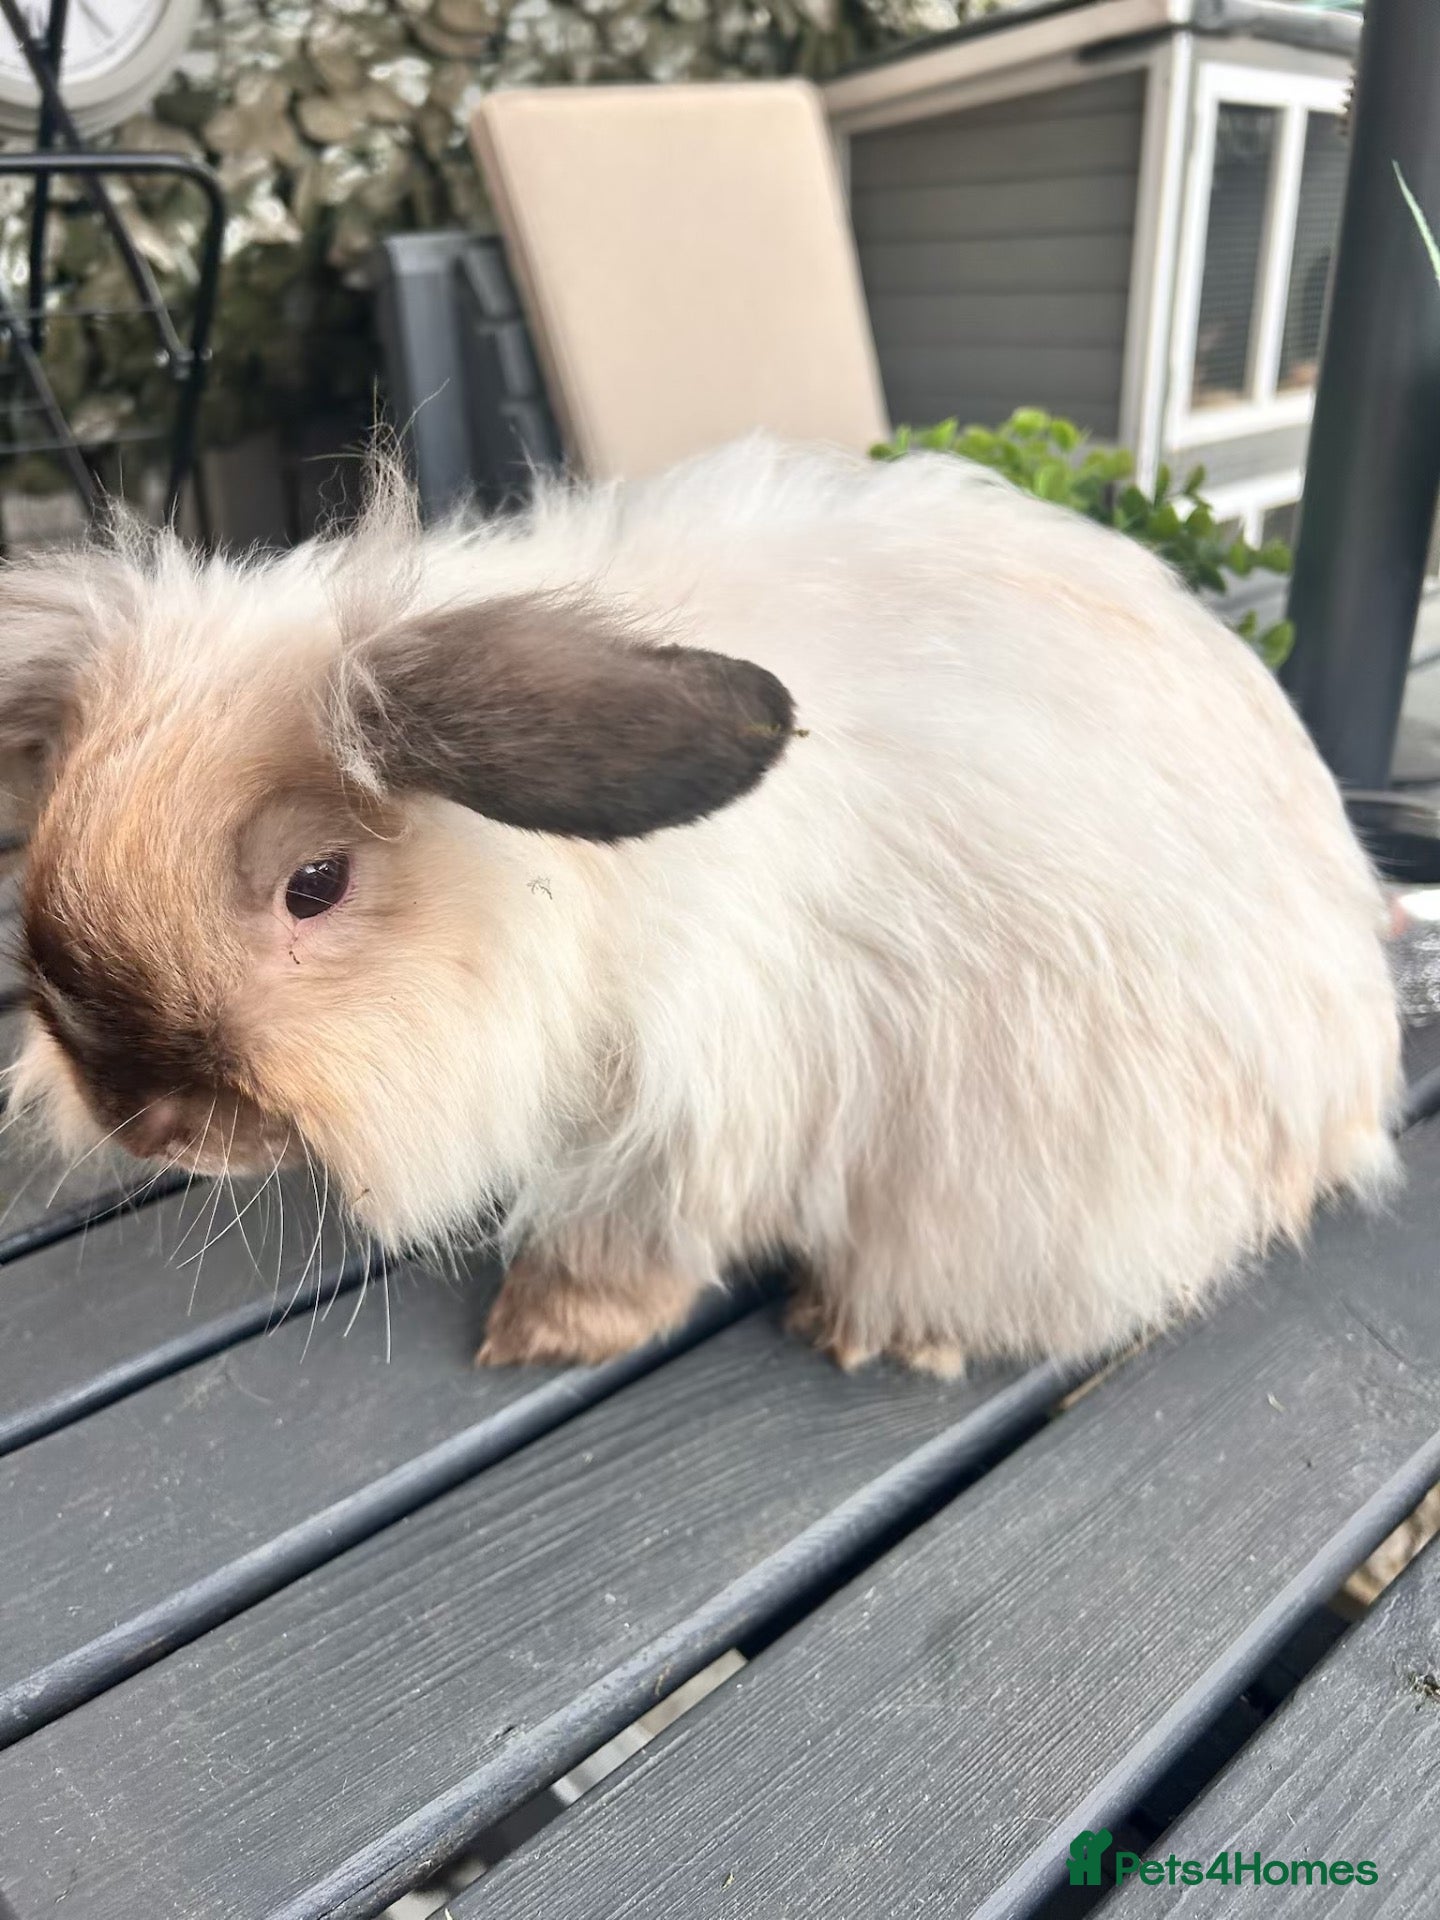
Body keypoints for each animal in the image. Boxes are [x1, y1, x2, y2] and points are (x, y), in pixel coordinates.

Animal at [0, 435, 1400, 1374]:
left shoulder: (698, 1100)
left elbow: (637, 1246)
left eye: (315, 885)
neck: (559, 894)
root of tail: (1342, 1099)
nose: (142, 1121)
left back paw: (868, 1330)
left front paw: (540, 1335)